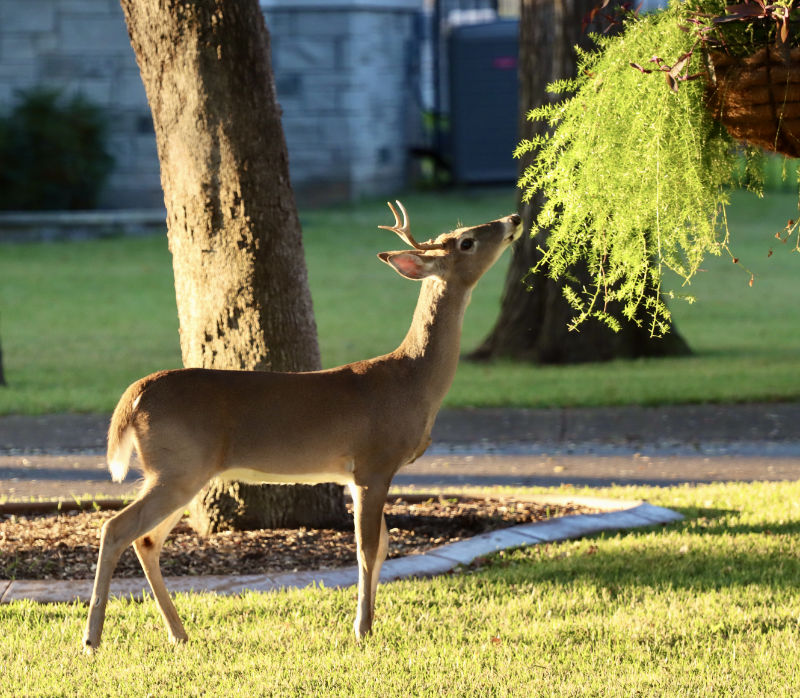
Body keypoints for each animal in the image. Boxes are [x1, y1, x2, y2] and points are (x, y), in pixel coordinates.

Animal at [79, 198, 520, 648]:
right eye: (466, 242)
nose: (513, 219)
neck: (411, 379)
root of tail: (135, 394)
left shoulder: (361, 474)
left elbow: (382, 546)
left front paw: (368, 624)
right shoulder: (373, 464)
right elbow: (366, 548)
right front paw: (362, 629)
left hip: (183, 473)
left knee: (146, 540)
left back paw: (179, 633)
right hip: (177, 468)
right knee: (115, 528)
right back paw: (92, 639)